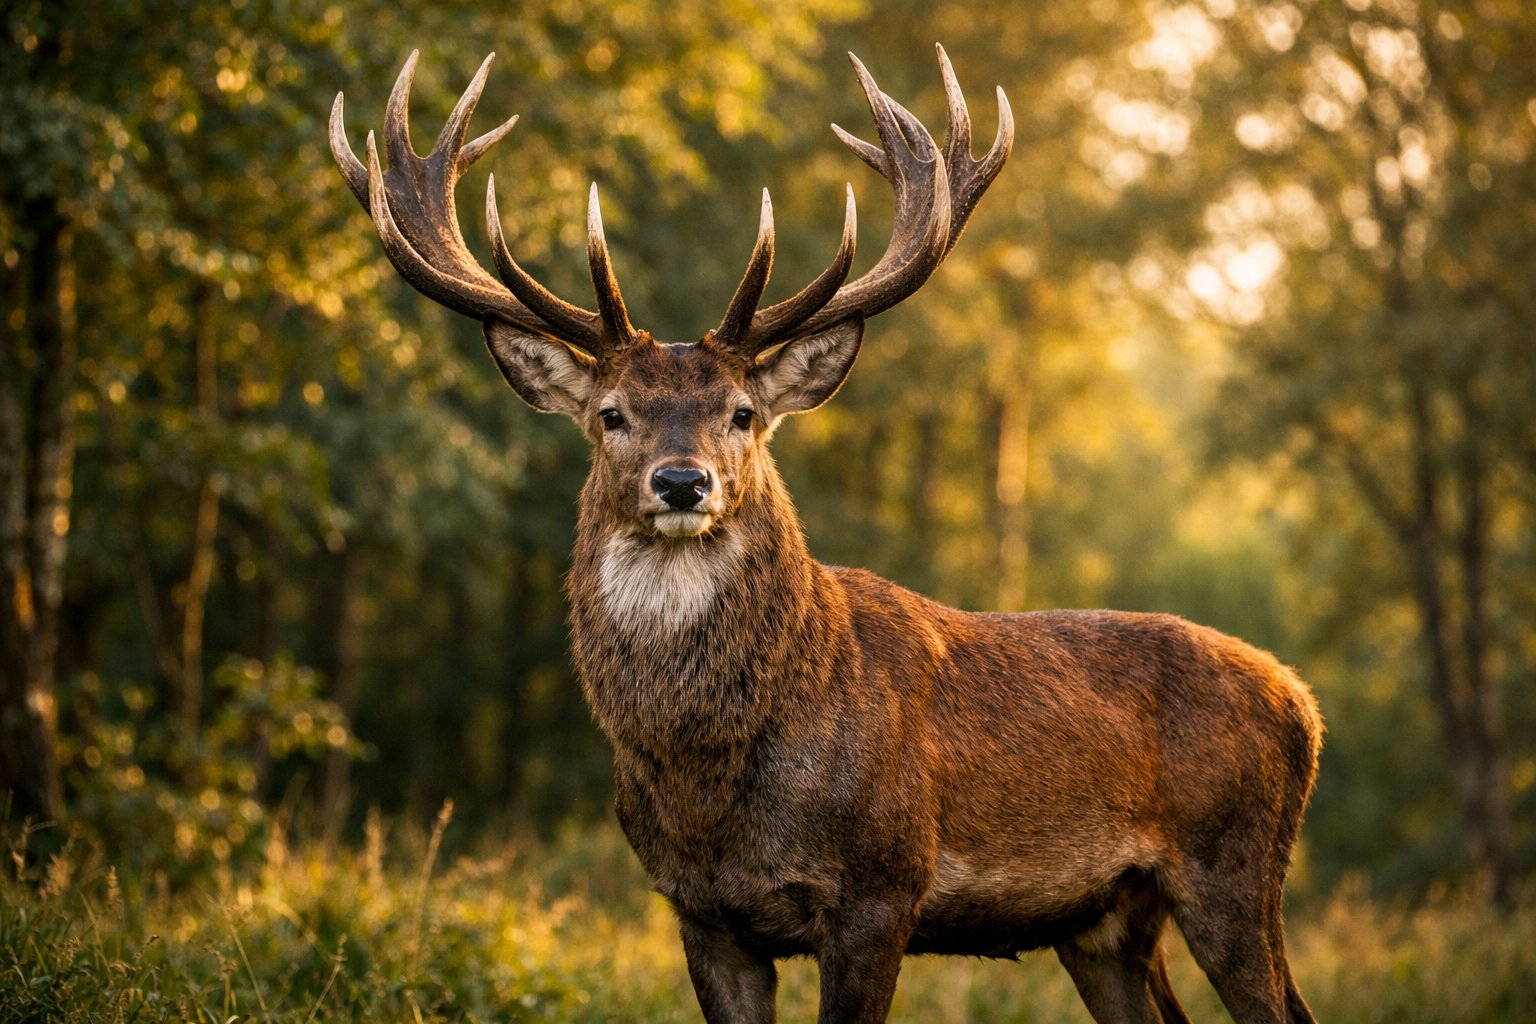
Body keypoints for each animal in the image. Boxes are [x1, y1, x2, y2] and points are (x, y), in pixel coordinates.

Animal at [331, 46, 1323, 1024]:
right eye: (612, 414)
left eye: (742, 412)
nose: (682, 481)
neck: (710, 787)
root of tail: (1301, 703)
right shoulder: (700, 912)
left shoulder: (881, 887)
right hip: (1104, 921)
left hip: (1234, 868)